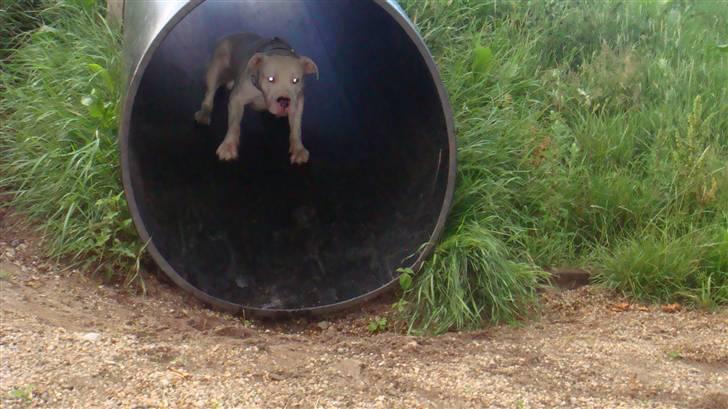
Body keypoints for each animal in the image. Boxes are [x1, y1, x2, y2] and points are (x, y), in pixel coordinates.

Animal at [193, 33, 318, 164]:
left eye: (295, 80)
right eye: (270, 79)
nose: (284, 101)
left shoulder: (297, 103)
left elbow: (296, 128)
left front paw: (298, 149)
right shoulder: (236, 99)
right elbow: (234, 125)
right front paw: (228, 146)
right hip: (215, 70)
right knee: (210, 93)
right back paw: (204, 113)